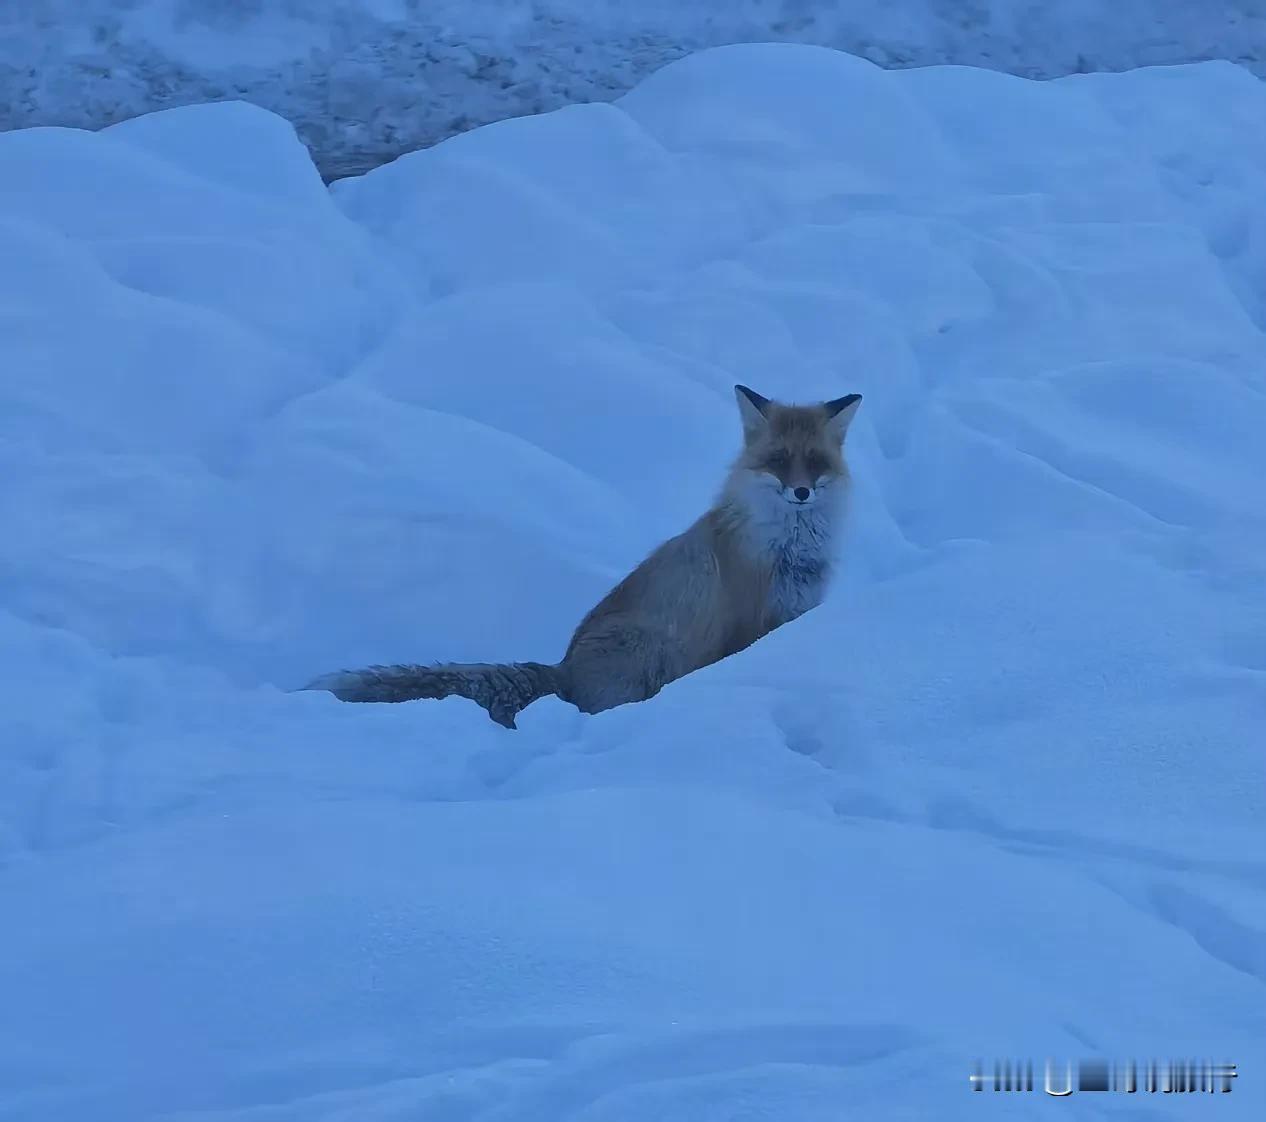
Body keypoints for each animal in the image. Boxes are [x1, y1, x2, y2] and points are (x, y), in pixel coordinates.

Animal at [305, 387, 860, 729]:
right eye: (778, 462)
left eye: (814, 462)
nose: (802, 492)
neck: (788, 550)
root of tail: (564, 669)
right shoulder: (750, 621)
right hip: (650, 650)